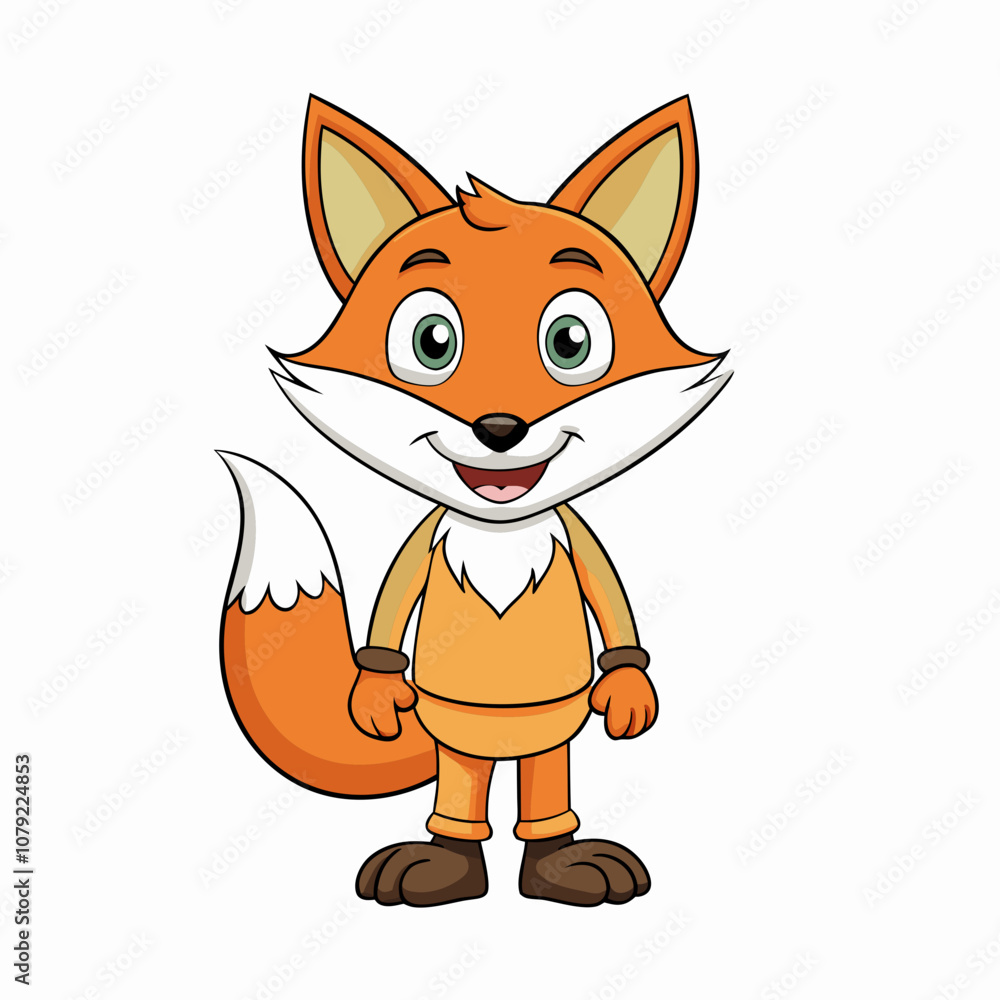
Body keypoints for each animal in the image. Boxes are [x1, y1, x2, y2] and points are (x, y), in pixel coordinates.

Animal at [219, 93, 731, 908]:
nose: (499, 428)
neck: (500, 526)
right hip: (454, 730)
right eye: (432, 341)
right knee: (462, 782)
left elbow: (609, 598)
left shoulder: (575, 535)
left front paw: (628, 691)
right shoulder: (427, 537)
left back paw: (562, 864)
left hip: (549, 731)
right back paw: (441, 865)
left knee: (544, 780)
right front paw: (375, 699)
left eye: (570, 340)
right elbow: (394, 604)